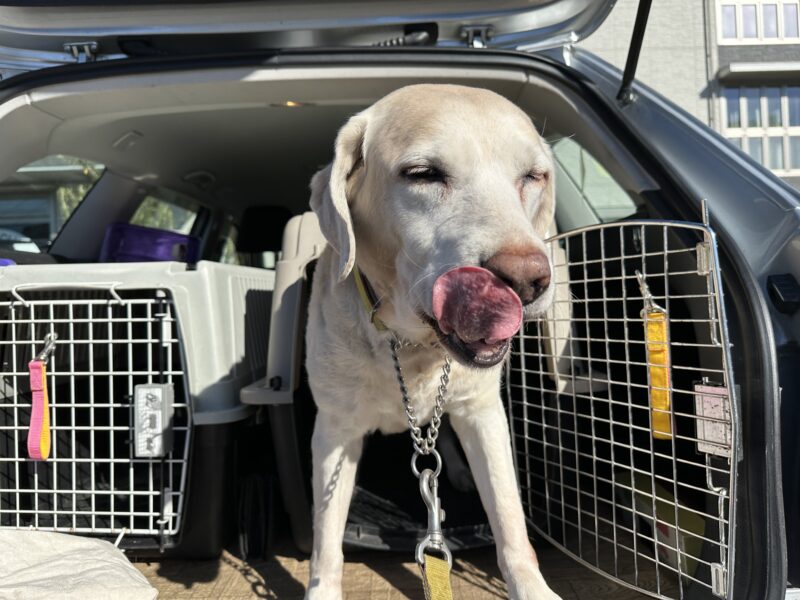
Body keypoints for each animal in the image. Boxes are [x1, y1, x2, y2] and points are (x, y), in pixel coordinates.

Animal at [304, 84, 560, 600]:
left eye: (533, 176)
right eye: (422, 174)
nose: (526, 280)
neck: (410, 345)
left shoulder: (483, 414)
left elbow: (510, 520)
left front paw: (532, 588)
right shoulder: (335, 430)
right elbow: (326, 539)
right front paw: (322, 589)